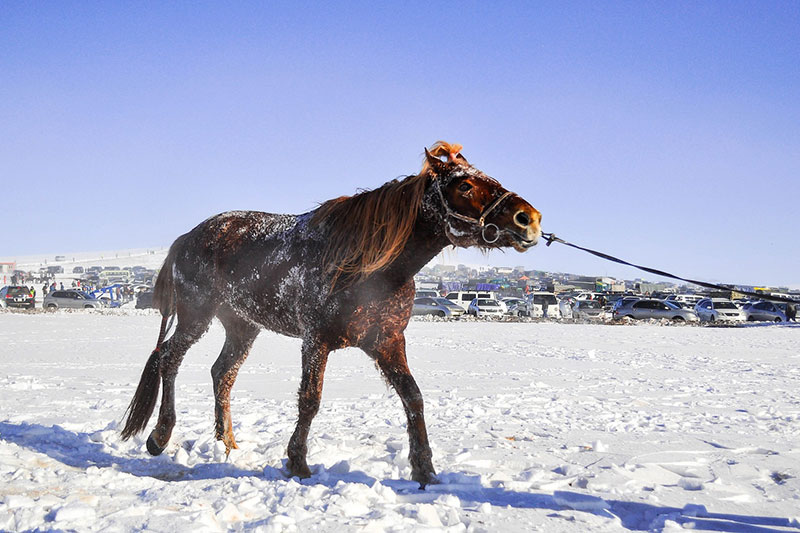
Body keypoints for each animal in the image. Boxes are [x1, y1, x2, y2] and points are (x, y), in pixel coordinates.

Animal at [120, 141, 542, 487]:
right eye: (464, 186)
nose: (529, 219)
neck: (371, 265)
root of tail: (187, 237)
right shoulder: (316, 340)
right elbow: (310, 399)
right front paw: (297, 462)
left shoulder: (388, 341)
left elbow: (413, 397)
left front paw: (425, 470)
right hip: (196, 315)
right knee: (169, 359)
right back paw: (160, 436)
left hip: (242, 326)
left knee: (222, 373)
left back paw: (228, 442)